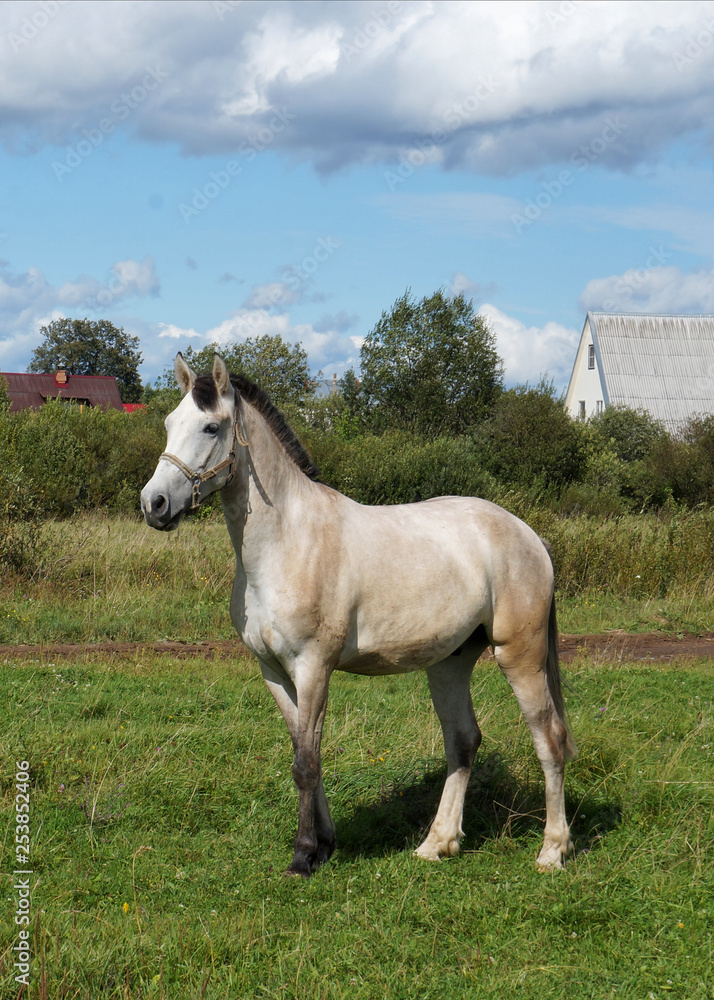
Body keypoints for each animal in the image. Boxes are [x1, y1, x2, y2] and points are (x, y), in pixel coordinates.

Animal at [141, 353, 577, 877]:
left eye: (211, 427)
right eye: (170, 423)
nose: (154, 504)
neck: (288, 541)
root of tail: (528, 535)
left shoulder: (313, 668)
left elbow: (306, 763)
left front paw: (303, 855)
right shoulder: (274, 672)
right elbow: (305, 751)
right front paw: (325, 843)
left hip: (520, 657)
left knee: (549, 739)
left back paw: (552, 850)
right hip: (449, 663)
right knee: (463, 741)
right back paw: (438, 843)